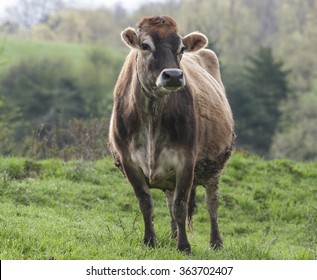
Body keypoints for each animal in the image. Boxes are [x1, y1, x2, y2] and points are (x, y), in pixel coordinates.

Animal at [108, 15, 235, 254]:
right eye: (145, 45)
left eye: (181, 48)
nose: (174, 75)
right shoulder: (128, 160)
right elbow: (146, 202)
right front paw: (150, 240)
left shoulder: (186, 160)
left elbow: (180, 205)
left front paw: (184, 246)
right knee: (169, 200)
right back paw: (172, 235)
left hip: (215, 165)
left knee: (211, 203)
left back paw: (216, 242)